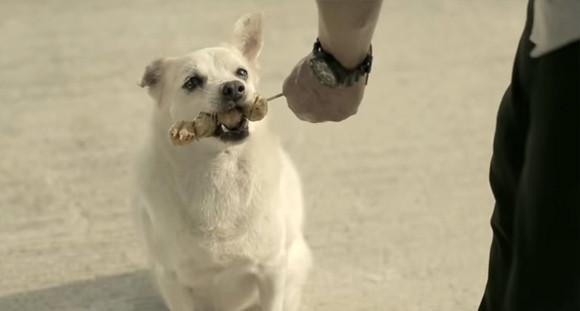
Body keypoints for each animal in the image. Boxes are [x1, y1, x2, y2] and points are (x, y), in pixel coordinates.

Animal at [132, 12, 312, 311]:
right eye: (192, 82)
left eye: (241, 73)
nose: (234, 88)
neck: (218, 169)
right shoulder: (173, 281)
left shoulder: (271, 270)